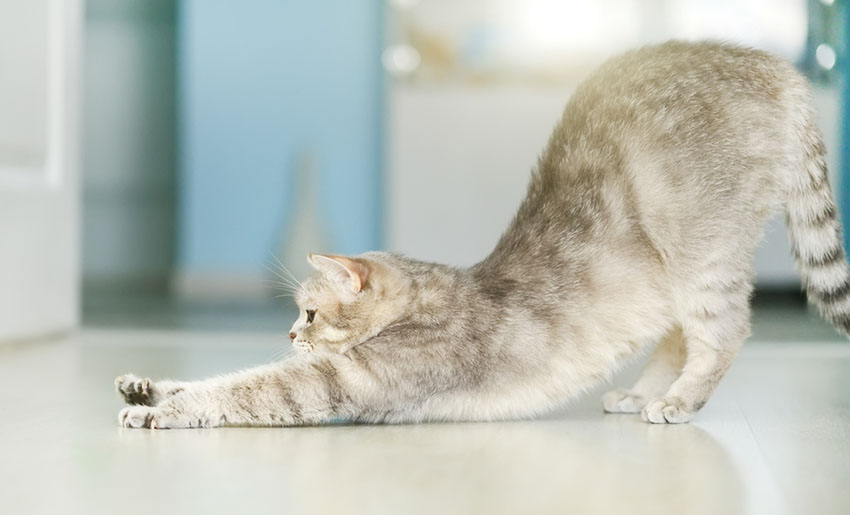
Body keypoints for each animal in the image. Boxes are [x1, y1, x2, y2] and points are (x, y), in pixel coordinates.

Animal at [114, 40, 848, 430]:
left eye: (310, 312)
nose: (290, 334)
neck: (428, 294)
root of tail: (780, 70)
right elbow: (223, 375)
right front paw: (149, 387)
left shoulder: (341, 380)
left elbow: (247, 388)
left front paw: (159, 409)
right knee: (677, 336)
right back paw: (643, 393)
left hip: (699, 250)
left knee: (724, 331)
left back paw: (676, 402)